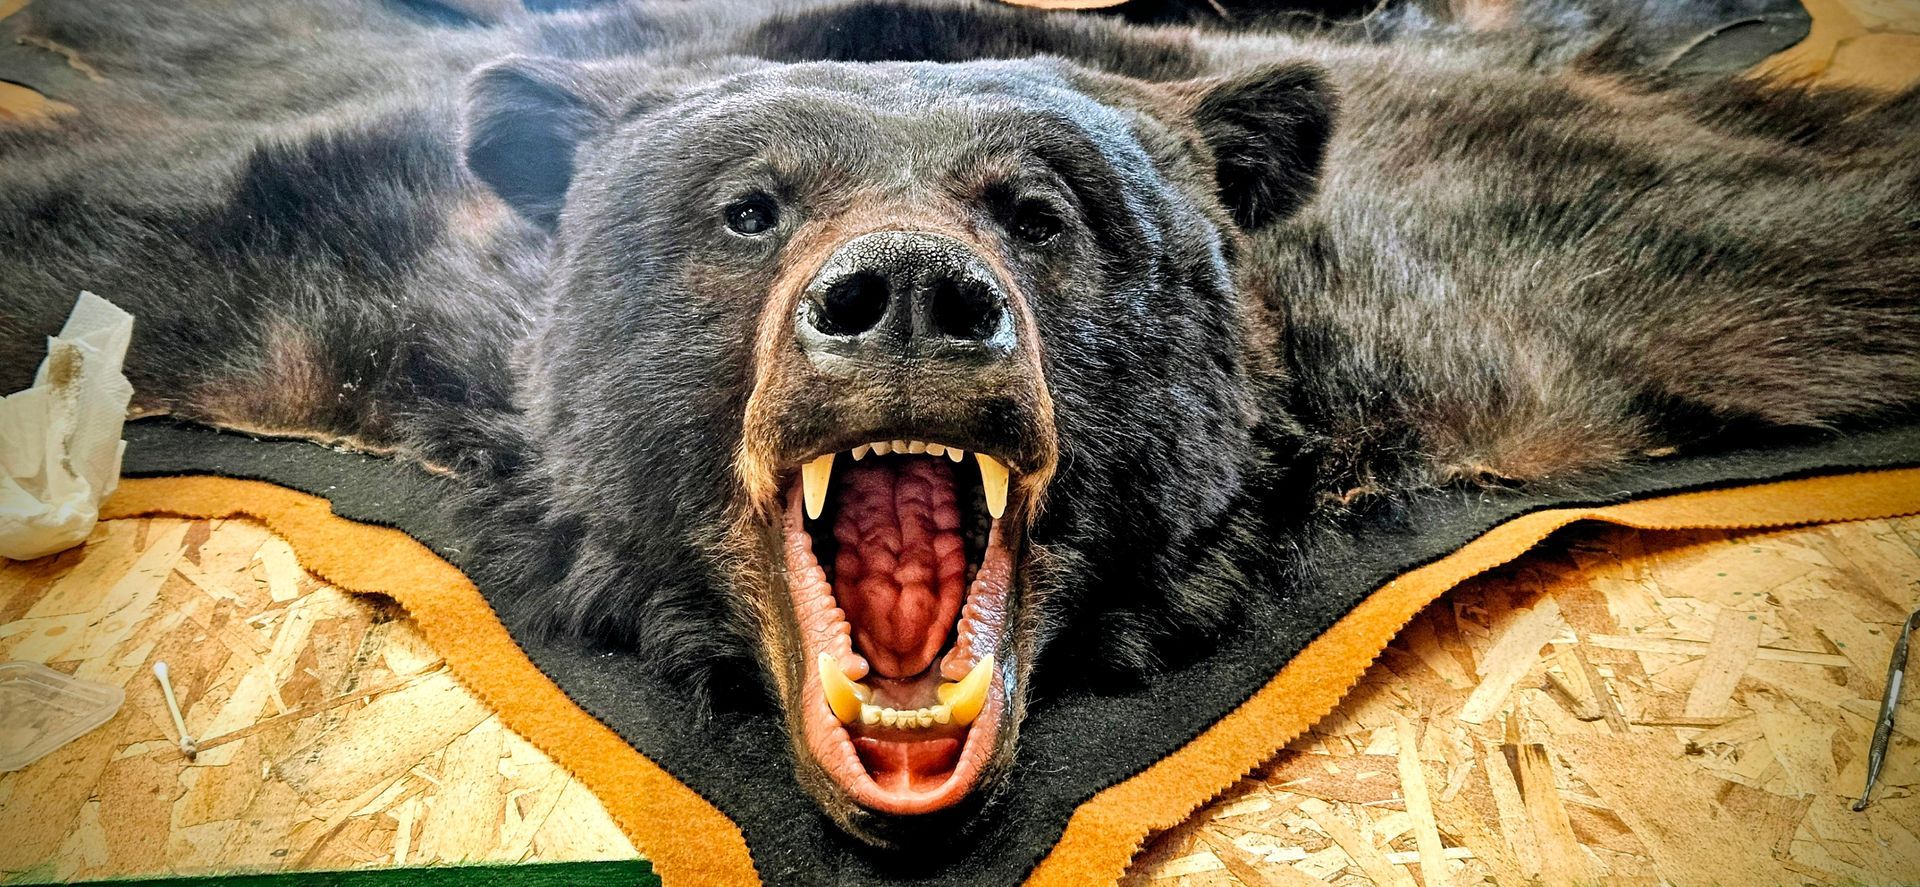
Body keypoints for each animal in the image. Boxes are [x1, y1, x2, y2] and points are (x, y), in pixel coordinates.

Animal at [3, 0, 1918, 848]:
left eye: (1044, 208)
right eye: (749, 207)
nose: (912, 295)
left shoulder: (1502, 294)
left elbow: (1783, 240)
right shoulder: (336, 288)